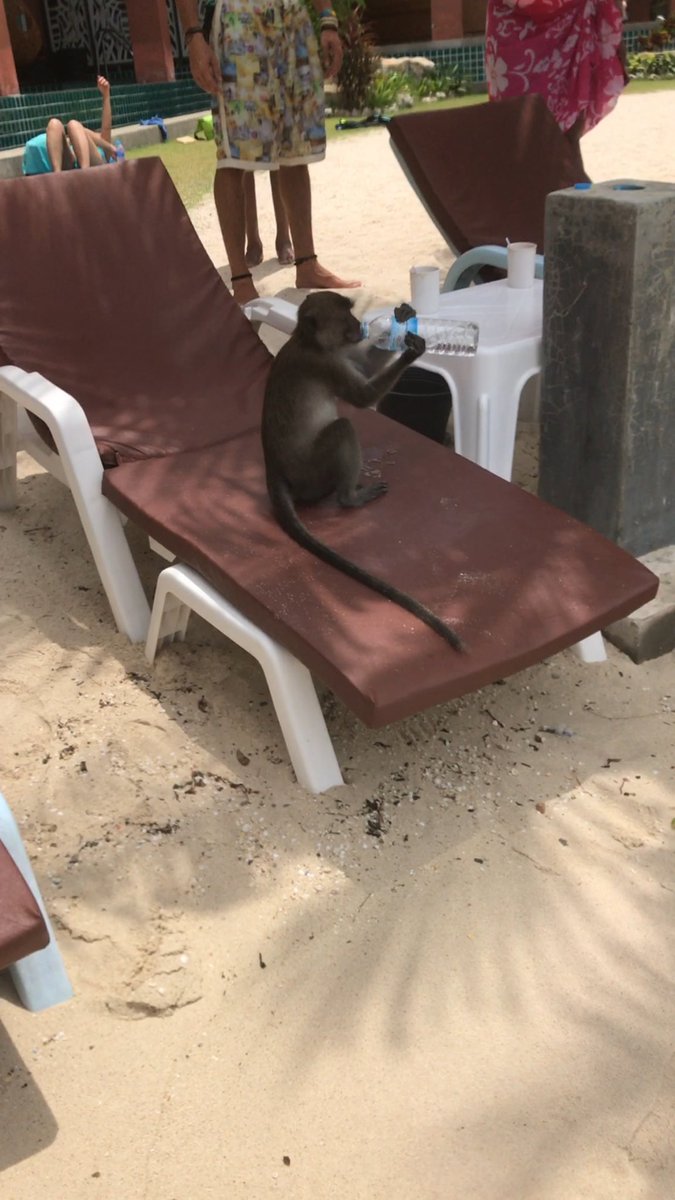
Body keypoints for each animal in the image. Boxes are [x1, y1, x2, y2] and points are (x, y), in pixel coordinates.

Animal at [261, 291, 464, 652]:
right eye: (345, 316)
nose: (359, 326)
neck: (309, 342)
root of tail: (274, 469)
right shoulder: (326, 365)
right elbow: (362, 397)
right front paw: (411, 349)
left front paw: (401, 318)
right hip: (311, 472)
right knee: (342, 427)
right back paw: (349, 497)